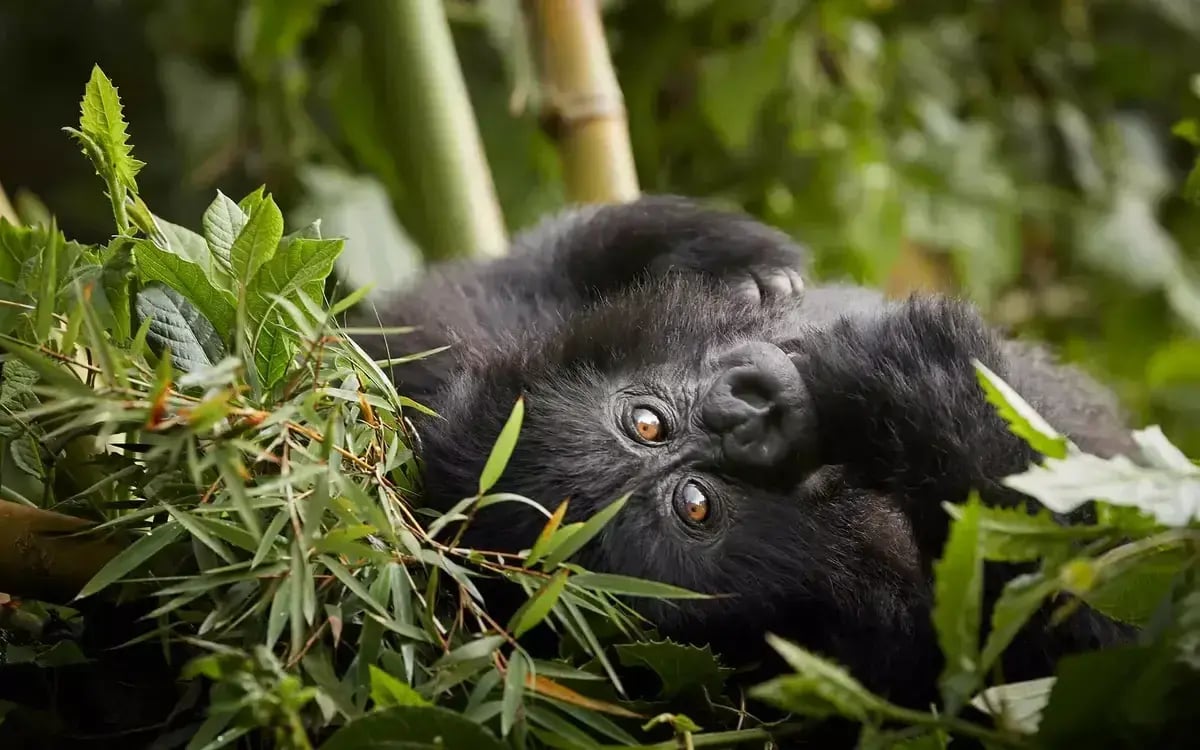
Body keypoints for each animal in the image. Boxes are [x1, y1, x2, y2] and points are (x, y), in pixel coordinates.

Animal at [355, 195, 1132, 715]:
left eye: (646, 423)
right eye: (696, 505)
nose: (751, 415)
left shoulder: (458, 339)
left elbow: (535, 261)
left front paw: (726, 262)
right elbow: (1066, 651)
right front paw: (914, 385)